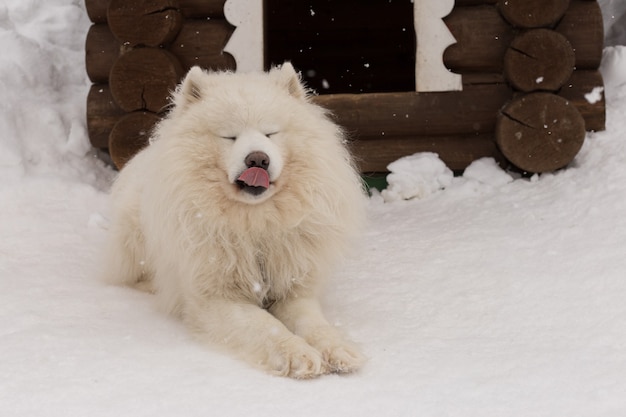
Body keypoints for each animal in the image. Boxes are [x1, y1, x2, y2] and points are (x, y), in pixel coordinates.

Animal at [101, 62, 366, 376]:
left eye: (270, 133)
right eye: (230, 136)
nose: (258, 159)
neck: (255, 224)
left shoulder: (293, 289)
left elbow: (313, 323)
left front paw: (337, 349)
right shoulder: (219, 298)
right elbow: (266, 325)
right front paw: (297, 355)